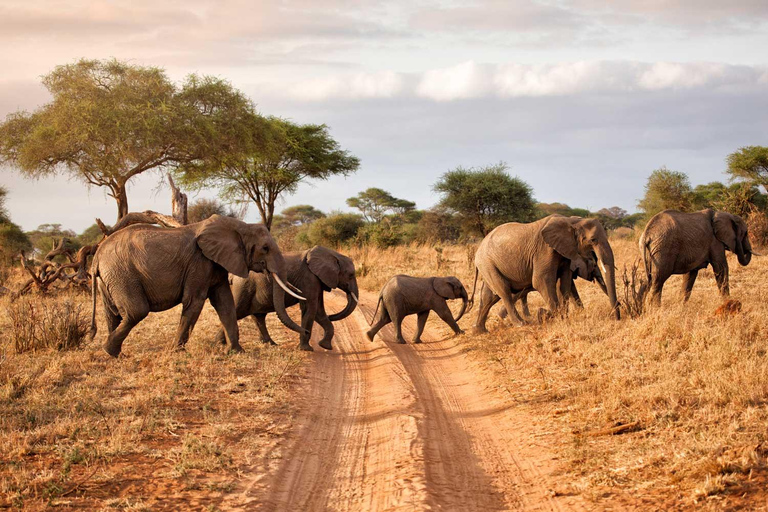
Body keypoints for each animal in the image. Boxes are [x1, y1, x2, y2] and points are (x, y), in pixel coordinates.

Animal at [90, 215, 306, 356]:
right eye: (265, 248)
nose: (306, 333)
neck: (239, 227)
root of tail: (97, 256)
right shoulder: (199, 262)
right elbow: (195, 301)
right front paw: (175, 352)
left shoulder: (217, 263)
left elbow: (225, 303)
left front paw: (237, 352)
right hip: (122, 274)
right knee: (136, 311)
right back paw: (108, 350)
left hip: (110, 278)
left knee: (112, 313)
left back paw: (116, 354)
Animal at [214, 245, 358, 352]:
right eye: (351, 275)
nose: (332, 315)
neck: (333, 254)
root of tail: (232, 275)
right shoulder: (309, 279)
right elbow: (310, 309)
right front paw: (307, 349)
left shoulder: (317, 280)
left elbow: (319, 311)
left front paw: (325, 346)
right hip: (244, 287)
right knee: (237, 311)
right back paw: (219, 344)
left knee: (258, 316)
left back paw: (270, 344)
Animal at [468, 214, 616, 334]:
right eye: (593, 240)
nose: (617, 315)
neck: (570, 221)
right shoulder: (544, 250)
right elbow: (541, 281)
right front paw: (546, 315)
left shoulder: (565, 252)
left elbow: (565, 283)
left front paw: (562, 316)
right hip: (487, 263)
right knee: (504, 291)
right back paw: (521, 324)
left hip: (488, 266)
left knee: (489, 296)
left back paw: (479, 331)